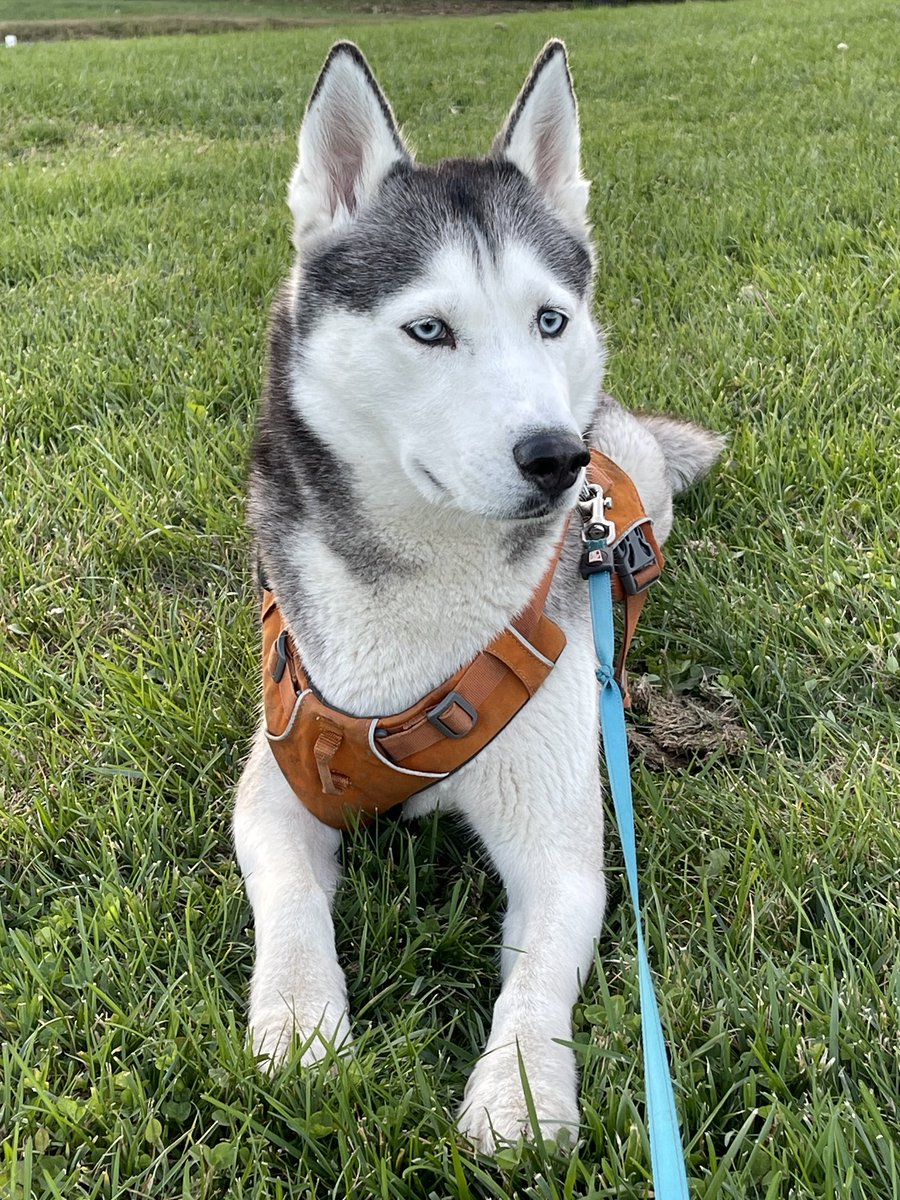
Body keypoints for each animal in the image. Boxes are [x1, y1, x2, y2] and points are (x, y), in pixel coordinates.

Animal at [234, 39, 724, 1152]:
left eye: (549, 319)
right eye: (429, 330)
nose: (555, 457)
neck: (425, 590)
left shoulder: (559, 845)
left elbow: (539, 977)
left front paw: (521, 1090)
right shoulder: (276, 780)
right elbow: (290, 904)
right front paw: (298, 1021)